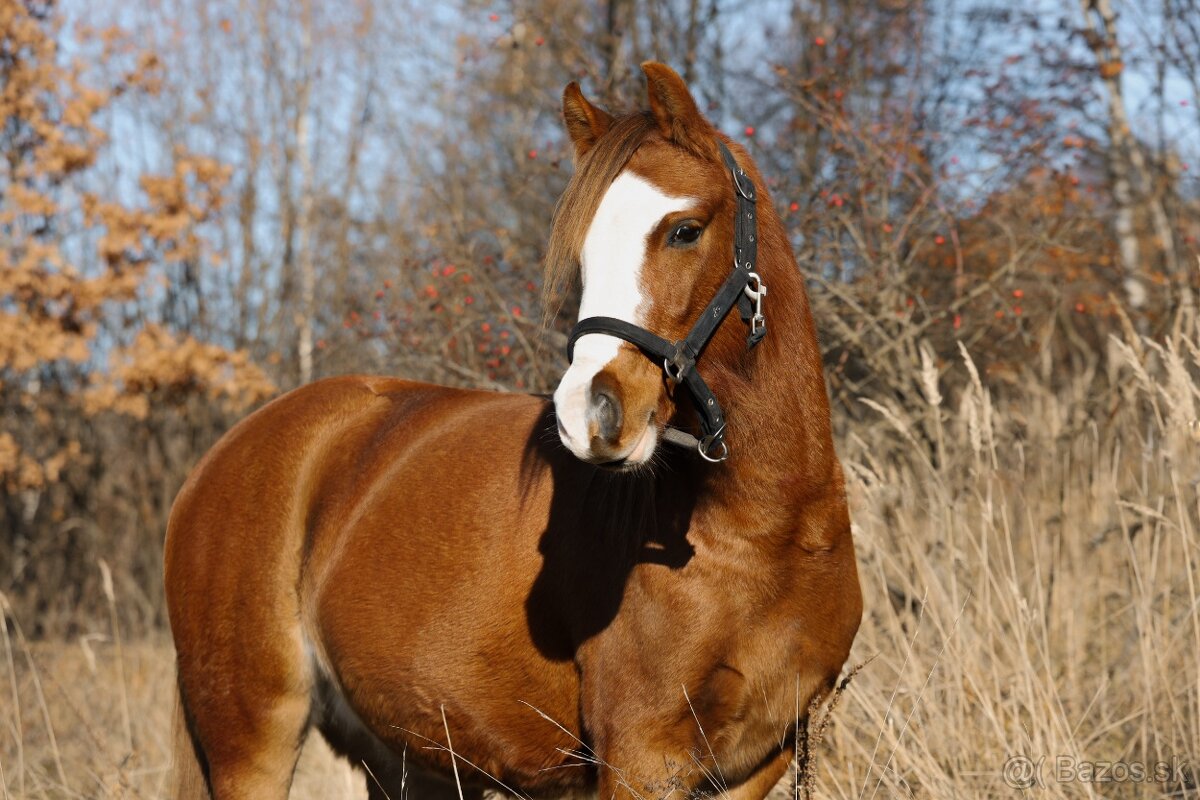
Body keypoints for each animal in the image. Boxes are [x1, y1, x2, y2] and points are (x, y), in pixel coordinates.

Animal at [166, 64, 864, 800]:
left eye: (684, 230)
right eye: (582, 255)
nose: (588, 415)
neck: (763, 533)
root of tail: (222, 458)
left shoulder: (759, 763)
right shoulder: (642, 759)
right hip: (254, 744)